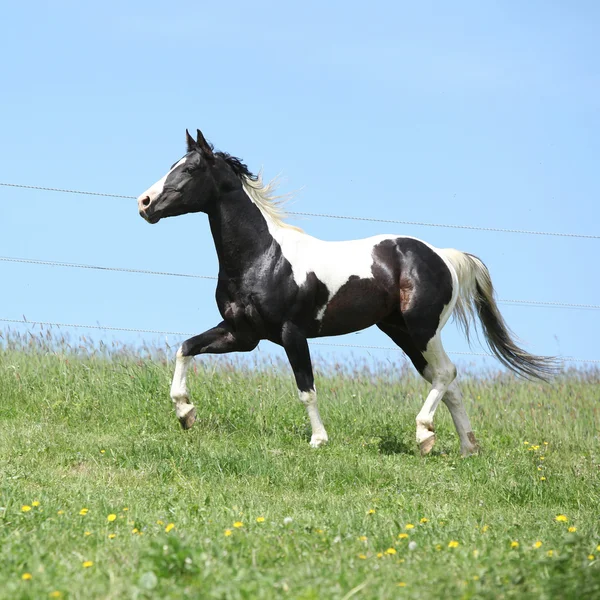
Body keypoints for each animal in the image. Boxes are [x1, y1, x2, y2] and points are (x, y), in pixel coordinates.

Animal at [137, 130, 556, 454]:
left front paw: (319, 440)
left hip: (423, 329)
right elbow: (186, 348)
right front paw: (185, 413)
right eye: (173, 164)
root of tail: (444, 256)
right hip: (401, 332)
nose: (144, 203)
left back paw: (424, 434)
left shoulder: (291, 333)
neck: (263, 257)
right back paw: (466, 446)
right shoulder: (243, 335)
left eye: (189, 169)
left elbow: (306, 389)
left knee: (446, 373)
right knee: (447, 382)